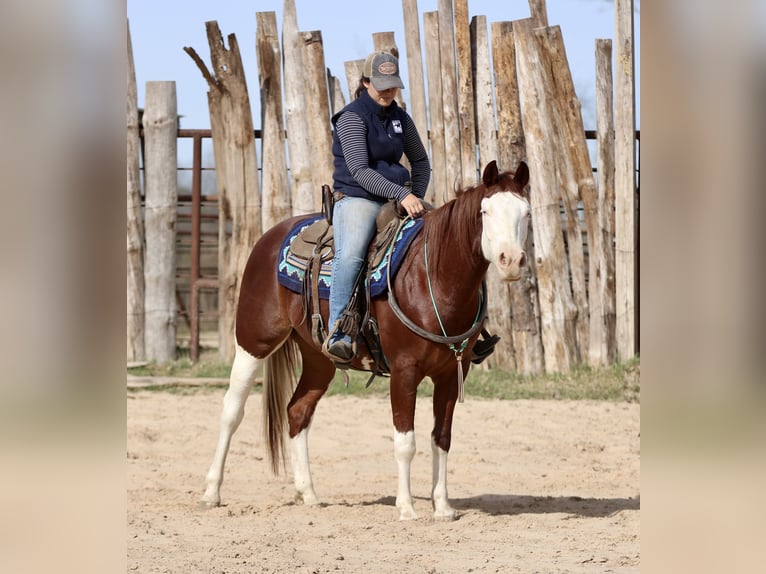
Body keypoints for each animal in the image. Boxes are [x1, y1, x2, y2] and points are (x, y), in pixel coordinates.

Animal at [200, 160, 531, 521]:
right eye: (486, 211)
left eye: (526, 212)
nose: (511, 260)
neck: (433, 279)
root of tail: (270, 237)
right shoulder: (404, 371)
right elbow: (405, 442)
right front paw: (407, 508)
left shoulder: (452, 374)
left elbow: (441, 438)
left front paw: (443, 507)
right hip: (253, 342)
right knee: (232, 410)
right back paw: (212, 491)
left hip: (319, 358)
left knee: (297, 410)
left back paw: (309, 493)